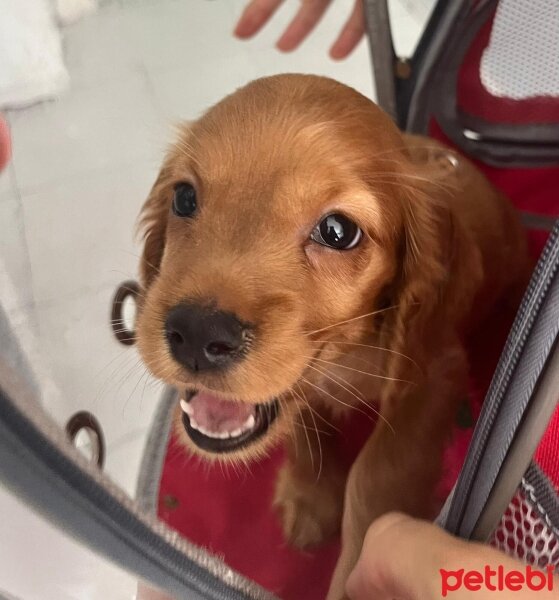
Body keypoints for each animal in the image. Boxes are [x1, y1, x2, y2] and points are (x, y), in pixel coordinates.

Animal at [135, 75, 528, 600]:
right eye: (183, 198)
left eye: (338, 231)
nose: (196, 334)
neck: (349, 352)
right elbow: (304, 421)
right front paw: (309, 497)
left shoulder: (432, 372)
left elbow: (378, 472)